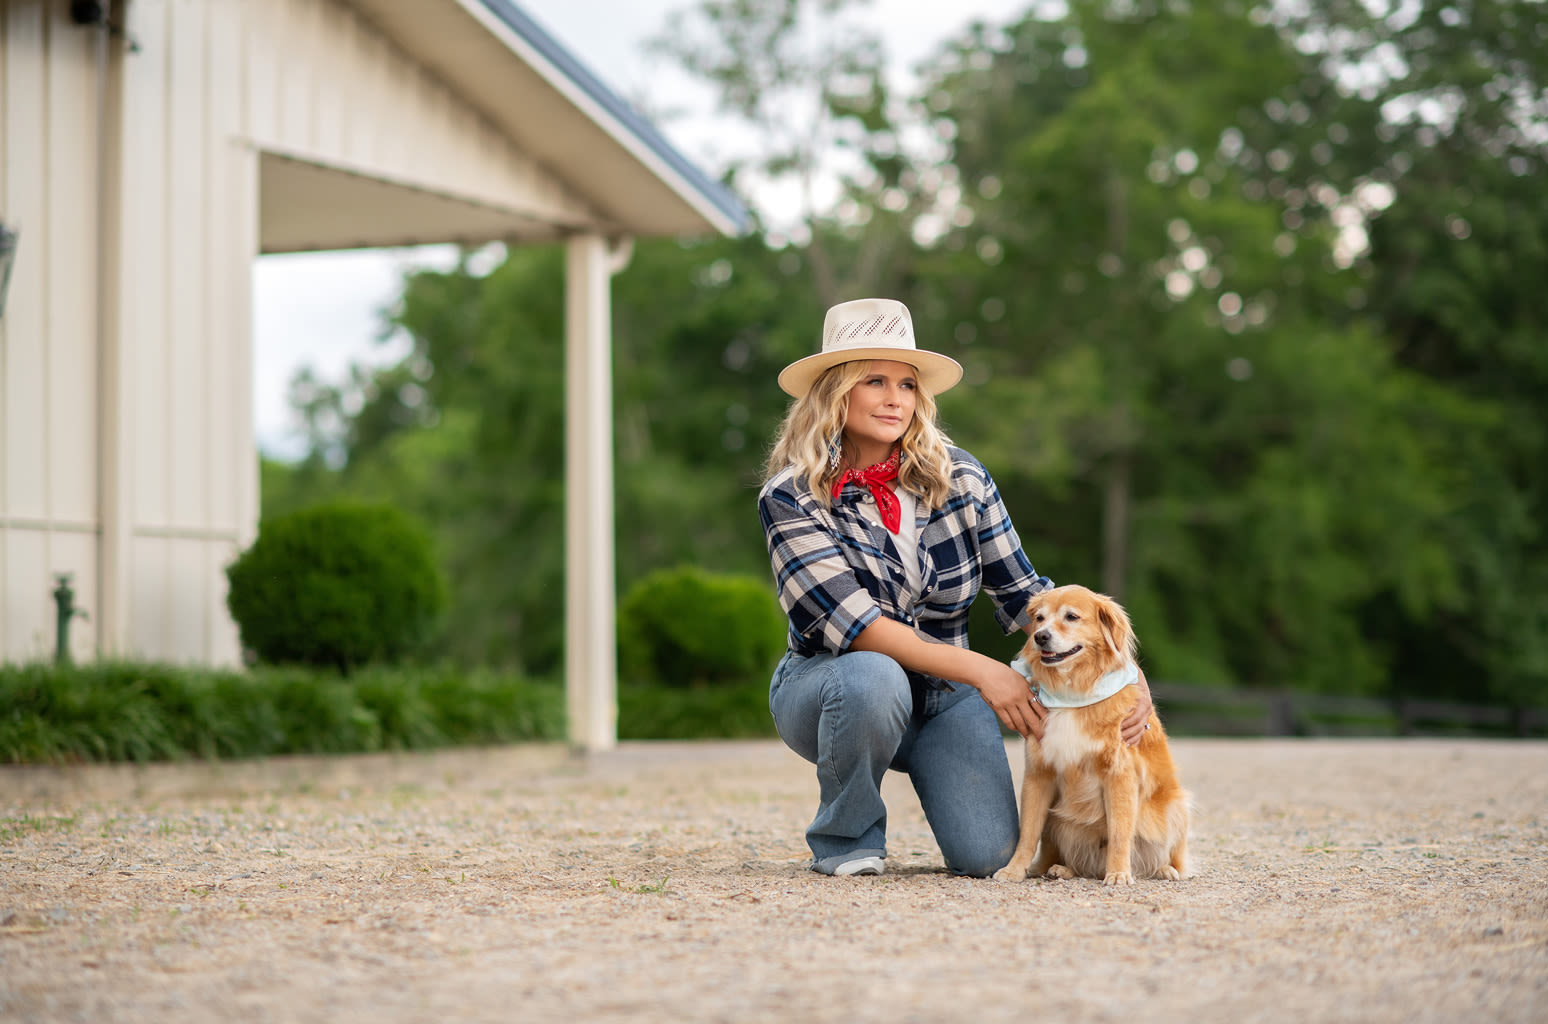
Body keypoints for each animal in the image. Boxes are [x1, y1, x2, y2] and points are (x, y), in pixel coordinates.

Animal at [996, 585, 1188, 879]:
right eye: (1039, 618)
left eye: (1072, 617)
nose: (1040, 636)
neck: (1072, 691)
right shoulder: (1038, 773)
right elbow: (1027, 832)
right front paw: (1014, 869)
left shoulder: (1119, 774)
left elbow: (1120, 831)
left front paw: (1119, 873)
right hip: (1058, 820)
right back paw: (1061, 869)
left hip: (1176, 807)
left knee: (1169, 856)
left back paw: (1164, 870)